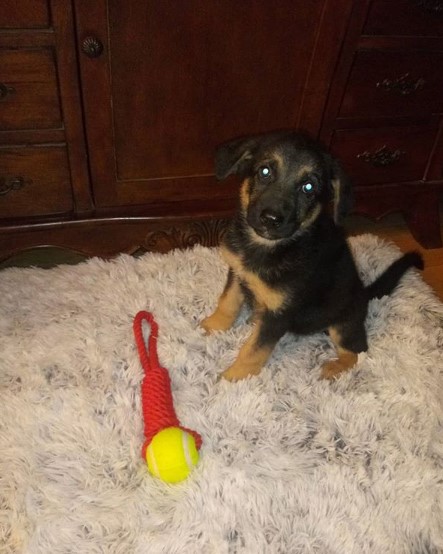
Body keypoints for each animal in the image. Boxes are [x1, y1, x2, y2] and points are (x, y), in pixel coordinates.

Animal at [201, 129, 424, 380]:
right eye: (264, 172)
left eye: (308, 187)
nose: (271, 219)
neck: (270, 247)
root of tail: (365, 294)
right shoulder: (238, 273)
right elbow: (227, 302)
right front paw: (213, 326)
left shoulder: (279, 314)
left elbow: (254, 350)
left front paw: (233, 378)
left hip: (343, 323)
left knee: (357, 351)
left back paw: (334, 368)